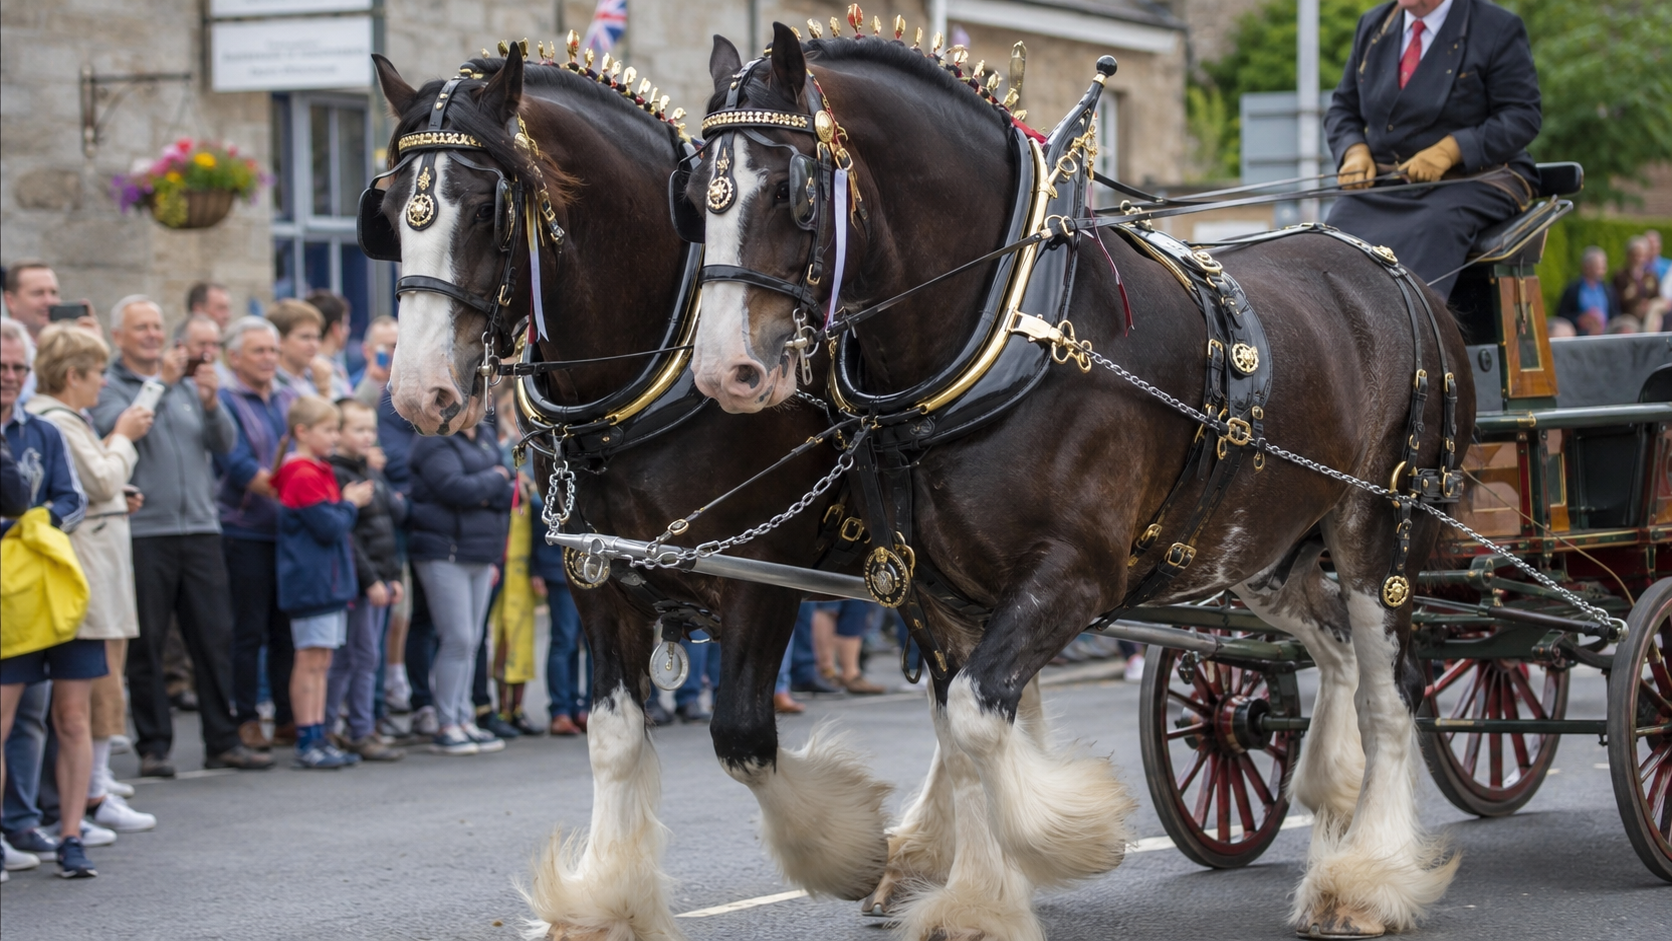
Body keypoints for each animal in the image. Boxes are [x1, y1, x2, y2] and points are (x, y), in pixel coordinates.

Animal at [368, 46, 896, 939]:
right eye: (391, 209)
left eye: (486, 211)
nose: (418, 391)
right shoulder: (594, 576)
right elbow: (613, 736)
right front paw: (603, 899)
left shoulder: (762, 571)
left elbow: (742, 733)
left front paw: (847, 848)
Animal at [683, 24, 1473, 940]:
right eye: (695, 194)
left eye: (794, 191)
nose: (724, 370)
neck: (1005, 326)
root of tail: (1401, 276)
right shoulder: (927, 592)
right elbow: (961, 730)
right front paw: (975, 895)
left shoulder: (1074, 574)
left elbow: (978, 721)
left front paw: (1057, 834)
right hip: (1259, 547)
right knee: (1337, 649)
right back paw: (1333, 796)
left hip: (1381, 530)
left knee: (1394, 692)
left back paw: (1369, 875)